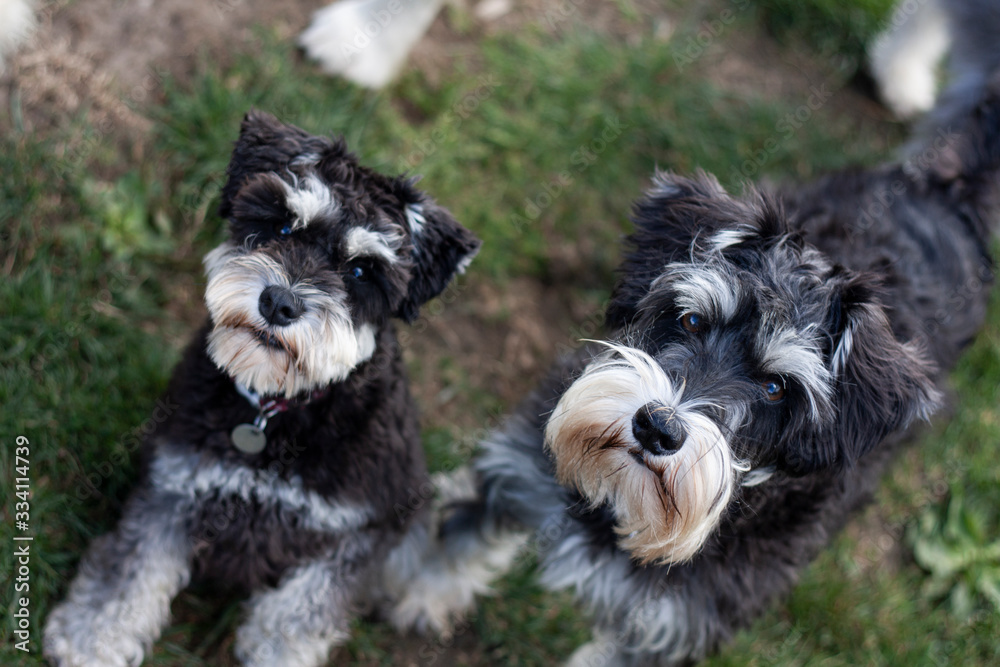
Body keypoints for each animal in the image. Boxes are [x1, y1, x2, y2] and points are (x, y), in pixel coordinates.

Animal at [46, 111, 480, 667]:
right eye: (281, 225)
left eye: (362, 270)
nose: (278, 302)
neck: (278, 412)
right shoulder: (174, 485)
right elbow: (130, 571)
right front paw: (91, 637)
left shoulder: (354, 531)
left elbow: (297, 616)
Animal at [394, 20, 996, 667]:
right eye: (690, 321)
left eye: (776, 387)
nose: (658, 428)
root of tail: (949, 196)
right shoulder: (520, 473)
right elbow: (459, 534)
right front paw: (419, 593)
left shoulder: (669, 629)